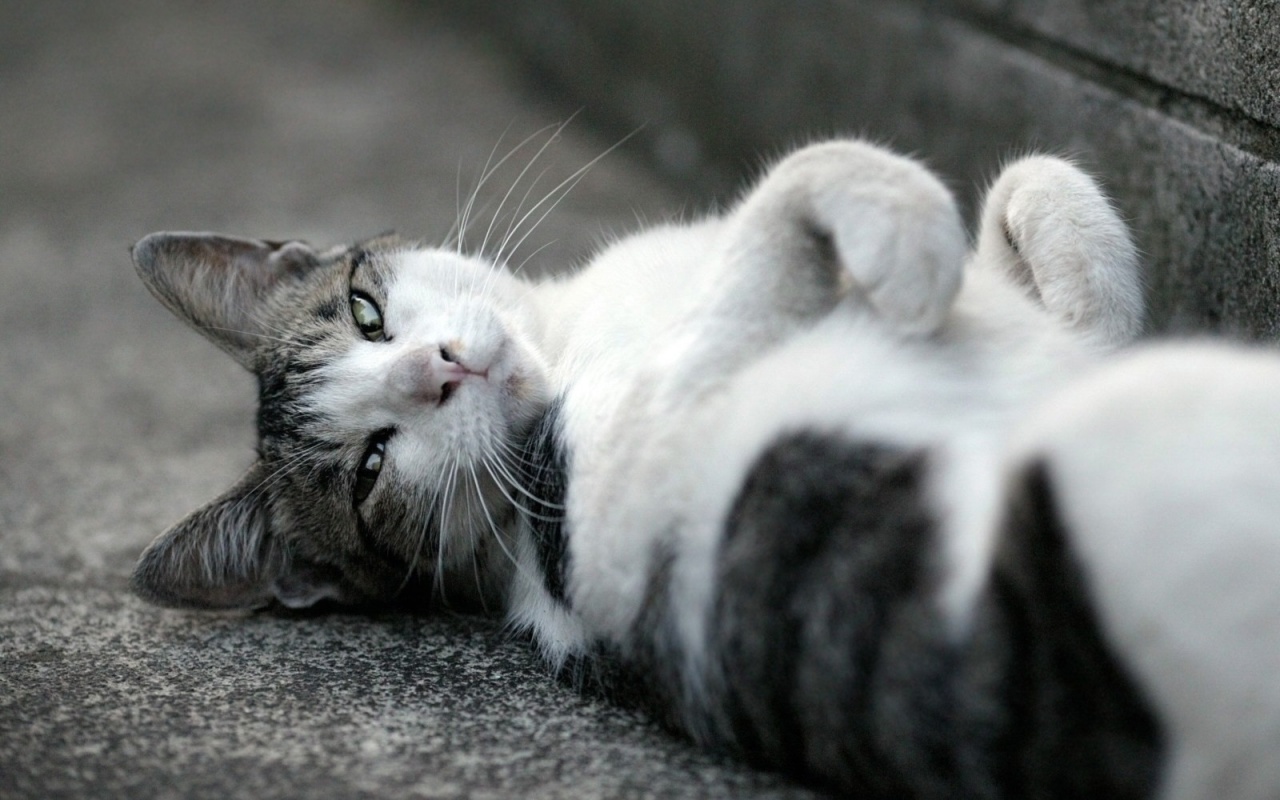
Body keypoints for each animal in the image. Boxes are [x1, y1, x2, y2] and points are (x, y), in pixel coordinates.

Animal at [127, 140, 1280, 793]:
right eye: (370, 470)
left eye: (367, 313)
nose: (438, 367)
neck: (576, 335)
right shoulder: (641, 477)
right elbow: (791, 183)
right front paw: (907, 242)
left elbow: (1040, 188)